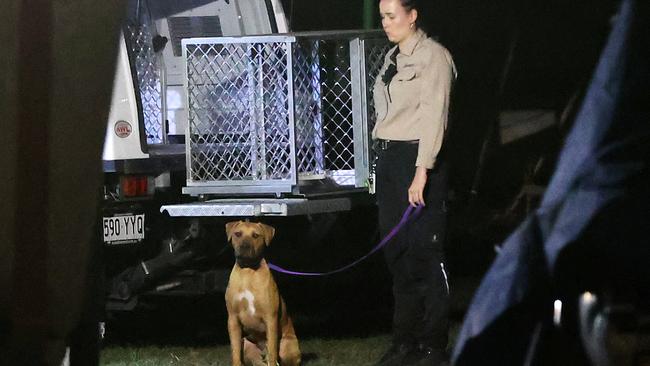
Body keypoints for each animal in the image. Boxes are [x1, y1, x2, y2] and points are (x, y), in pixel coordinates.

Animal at [225, 220, 302, 366]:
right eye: (238, 234)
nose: (245, 246)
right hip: (247, 345)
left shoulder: (270, 318)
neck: (248, 272)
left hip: (288, 347)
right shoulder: (233, 319)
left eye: (255, 235)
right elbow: (235, 351)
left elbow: (272, 351)